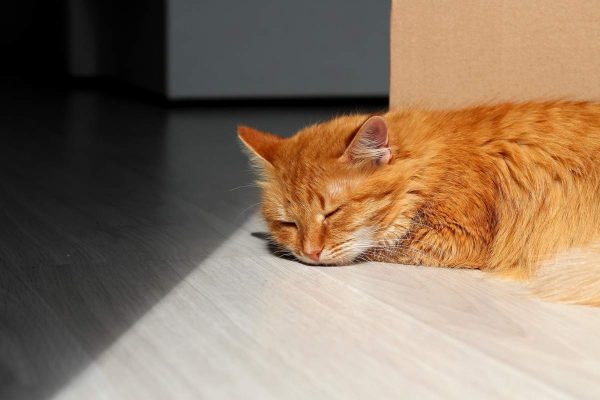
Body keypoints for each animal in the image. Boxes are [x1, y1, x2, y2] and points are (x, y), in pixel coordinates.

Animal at [238, 101, 600, 306]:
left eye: (332, 212)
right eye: (289, 223)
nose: (310, 253)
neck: (426, 165)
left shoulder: (462, 237)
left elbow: (383, 247)